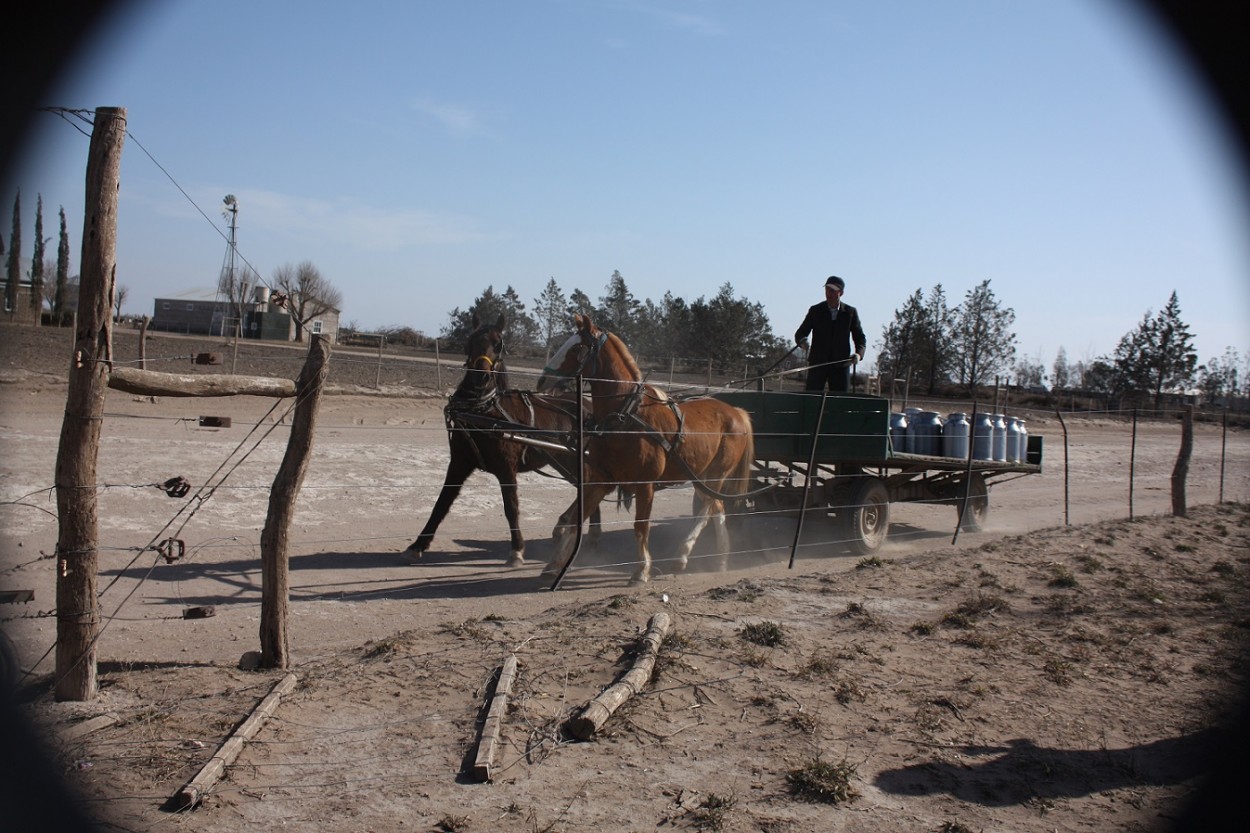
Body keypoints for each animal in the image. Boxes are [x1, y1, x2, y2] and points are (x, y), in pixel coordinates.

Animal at [407, 315, 602, 567]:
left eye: (498, 343)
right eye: (470, 341)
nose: (480, 375)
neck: (484, 411)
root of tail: (589, 406)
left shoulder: (506, 467)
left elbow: (511, 507)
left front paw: (517, 550)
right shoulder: (460, 463)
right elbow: (442, 502)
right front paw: (418, 544)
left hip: (572, 460)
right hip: (563, 461)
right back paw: (585, 532)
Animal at [535, 312, 750, 582]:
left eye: (577, 348)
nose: (542, 380)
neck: (626, 415)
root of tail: (736, 411)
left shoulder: (645, 484)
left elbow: (641, 525)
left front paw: (641, 569)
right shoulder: (600, 479)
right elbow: (576, 519)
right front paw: (554, 564)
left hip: (715, 475)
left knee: (706, 509)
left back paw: (682, 555)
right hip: (700, 476)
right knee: (717, 508)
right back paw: (720, 557)